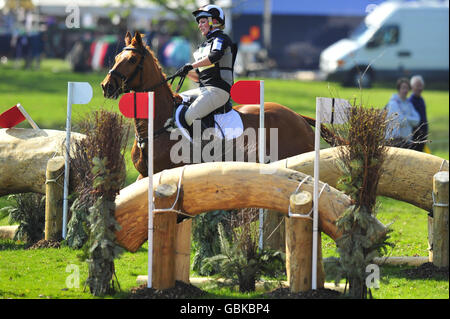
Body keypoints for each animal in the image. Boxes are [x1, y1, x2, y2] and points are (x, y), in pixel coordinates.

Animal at [100, 32, 336, 179]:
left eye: (131, 60)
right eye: (116, 56)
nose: (106, 86)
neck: (157, 127)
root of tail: (298, 117)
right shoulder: (143, 175)